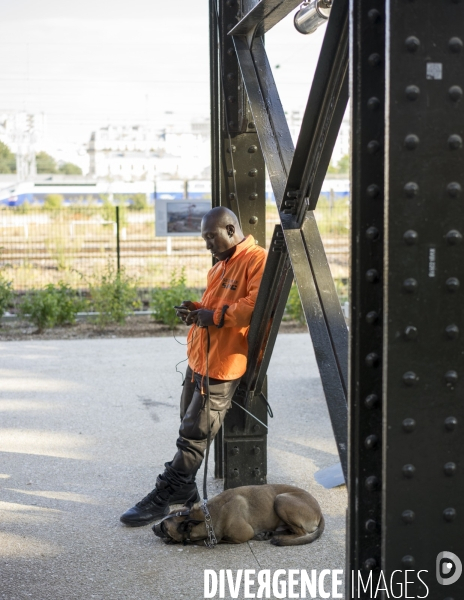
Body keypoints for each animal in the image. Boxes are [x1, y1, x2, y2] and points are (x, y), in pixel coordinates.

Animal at [152, 486, 322, 548]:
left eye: (164, 527)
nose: (153, 527)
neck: (208, 516)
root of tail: (319, 511)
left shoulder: (242, 535)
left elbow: (221, 540)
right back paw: (271, 533)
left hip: (280, 500)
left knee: (301, 533)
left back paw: (279, 538)